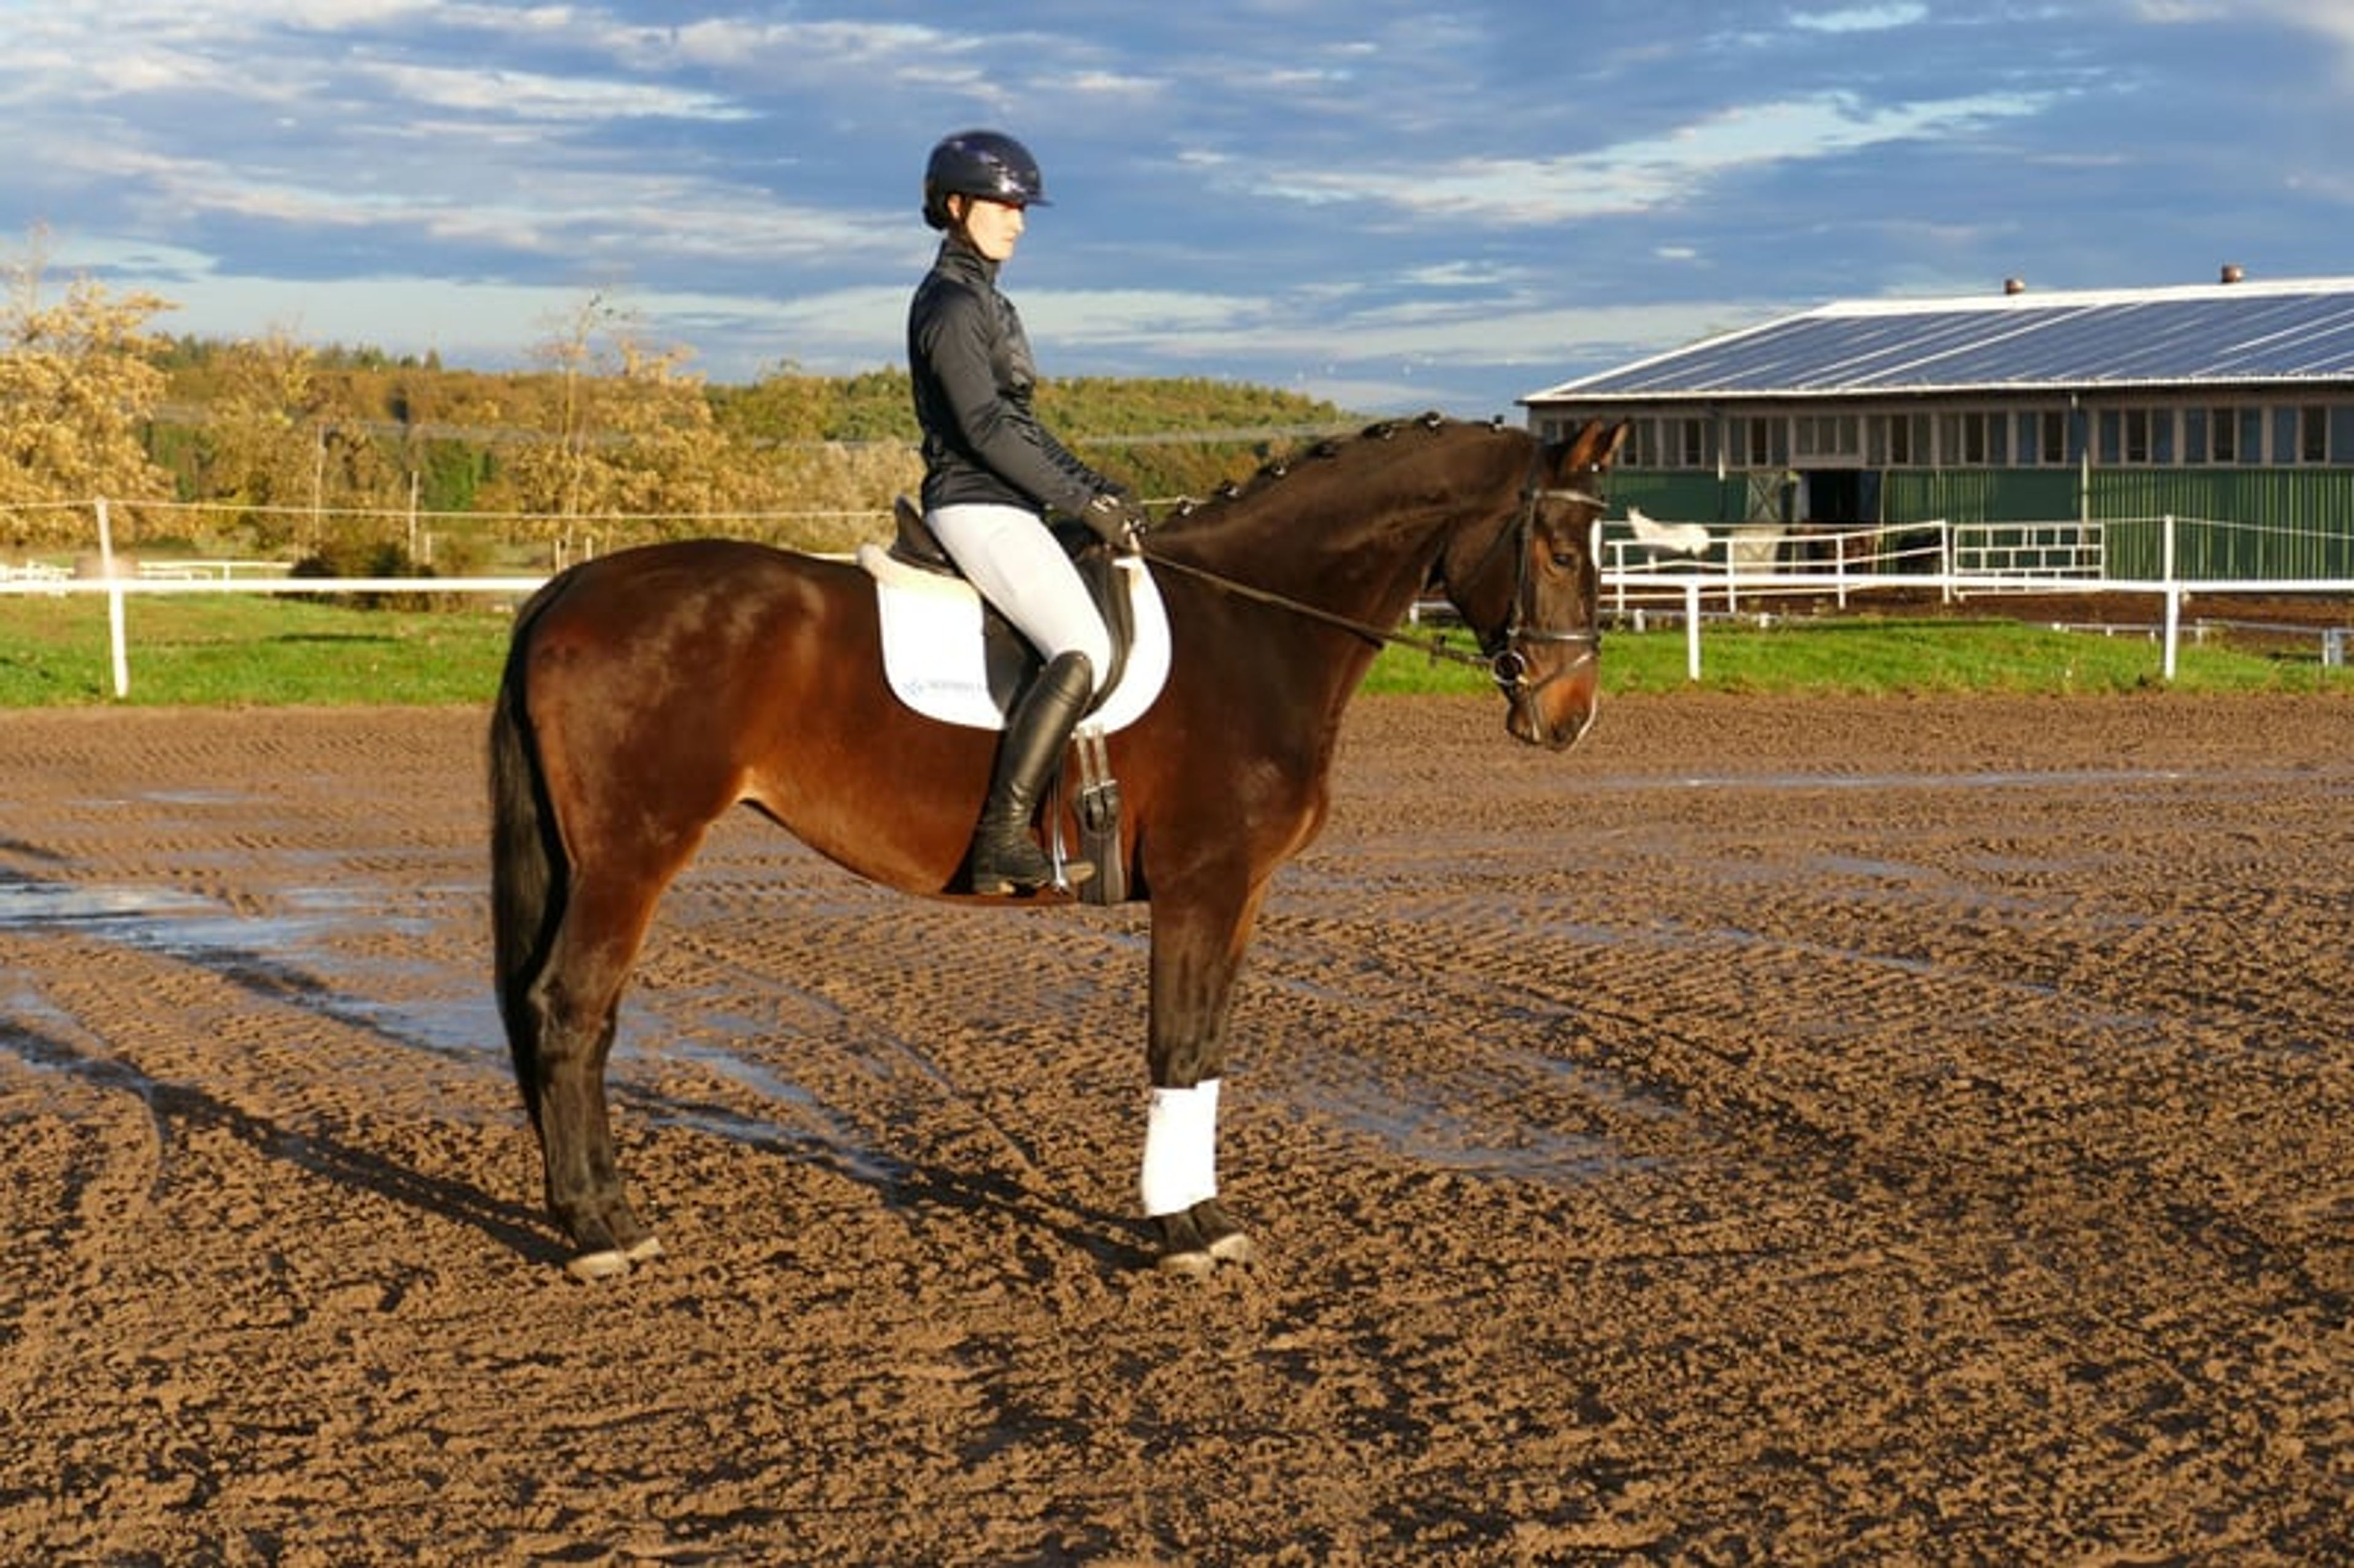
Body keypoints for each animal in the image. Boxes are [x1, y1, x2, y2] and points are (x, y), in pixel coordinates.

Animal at [489, 412, 1627, 1280]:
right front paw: (1180, 1233)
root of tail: (569, 589)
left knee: (586, 1018)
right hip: (633, 853)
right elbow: (1176, 1044)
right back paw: (600, 1230)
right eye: (1561, 552)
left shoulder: (1243, 894)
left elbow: (1209, 1050)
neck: (1255, 628)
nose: (1570, 718)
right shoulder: (1204, 886)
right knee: (570, 1009)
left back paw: (602, 1211)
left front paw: (1207, 1217)